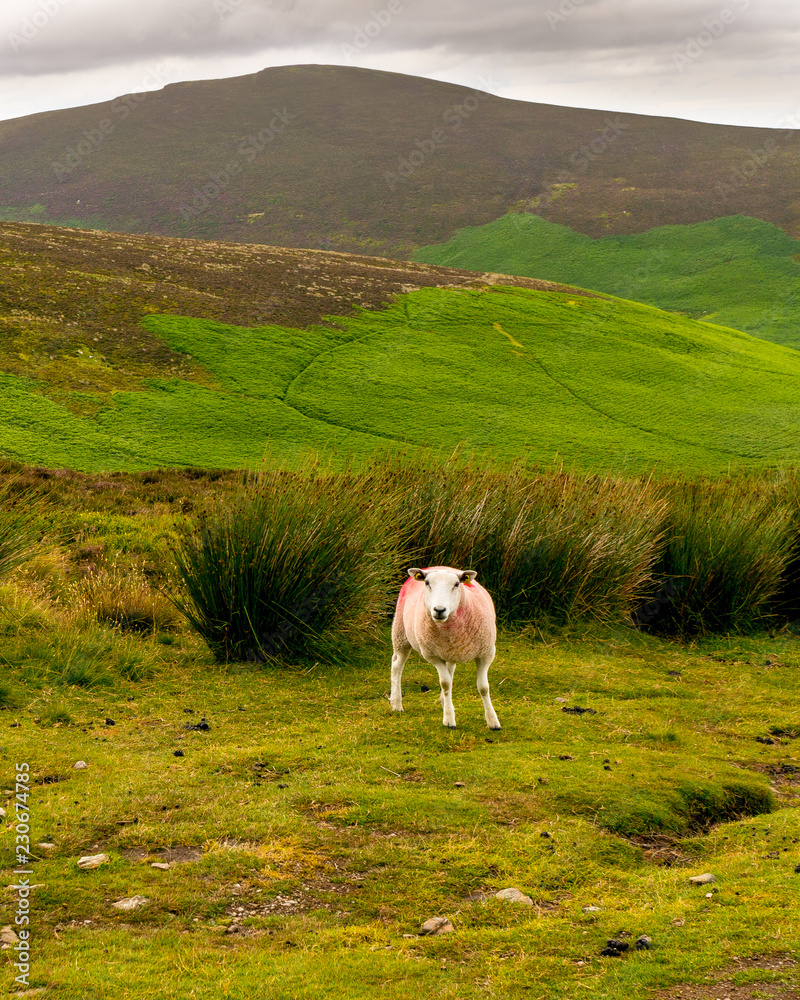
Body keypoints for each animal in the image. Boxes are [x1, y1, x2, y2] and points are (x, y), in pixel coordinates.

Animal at [390, 566, 501, 730]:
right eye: (427, 583)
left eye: (457, 584)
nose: (439, 610)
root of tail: (432, 567)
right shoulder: (432, 656)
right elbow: (446, 683)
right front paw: (449, 720)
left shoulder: (486, 653)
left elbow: (483, 687)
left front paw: (493, 721)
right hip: (401, 634)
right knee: (397, 665)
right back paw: (396, 703)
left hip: (448, 650)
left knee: (450, 669)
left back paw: (443, 701)